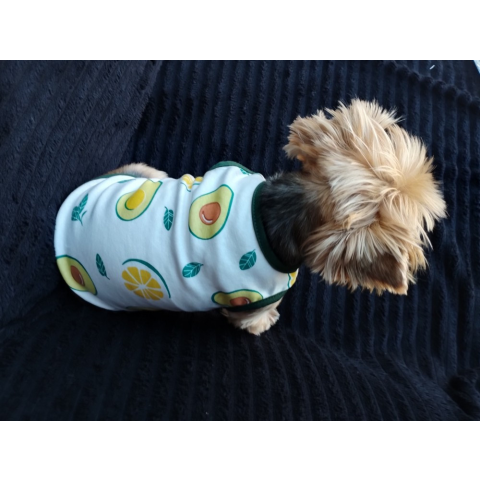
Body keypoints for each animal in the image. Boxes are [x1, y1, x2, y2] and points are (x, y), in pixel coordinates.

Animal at [54, 99, 447, 335]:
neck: (272, 213)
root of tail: (65, 225)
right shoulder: (254, 299)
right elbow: (254, 320)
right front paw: (268, 322)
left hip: (136, 173)